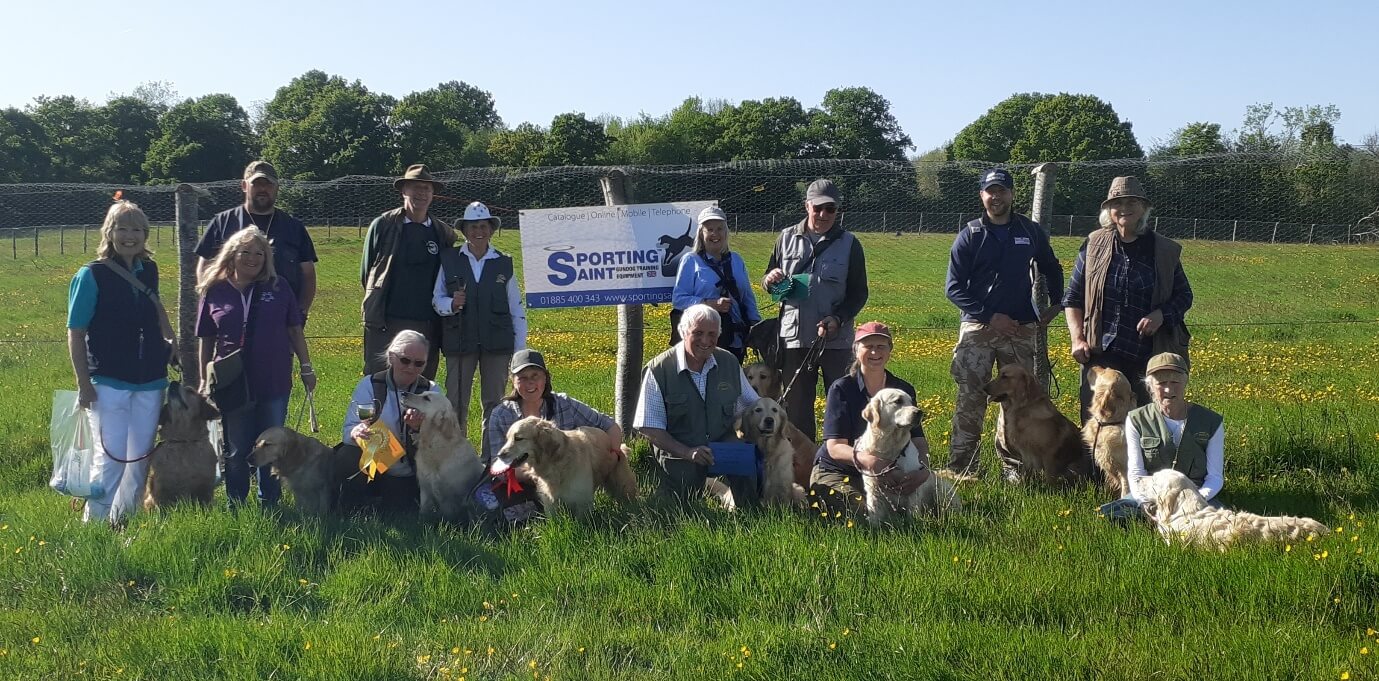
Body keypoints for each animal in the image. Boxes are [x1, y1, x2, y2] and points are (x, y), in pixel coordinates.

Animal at [493, 416, 637, 515]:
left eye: (518, 438)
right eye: (507, 438)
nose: (499, 455)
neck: (555, 461)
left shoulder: (581, 500)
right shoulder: (550, 503)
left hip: (624, 486)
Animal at [854, 388, 965, 526]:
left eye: (911, 401)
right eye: (898, 401)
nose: (919, 412)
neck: (889, 446)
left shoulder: (913, 484)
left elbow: (913, 511)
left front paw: (915, 523)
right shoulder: (872, 487)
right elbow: (874, 513)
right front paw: (874, 527)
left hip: (942, 489)